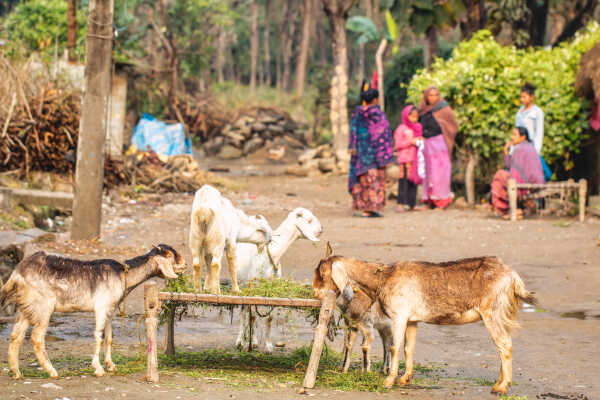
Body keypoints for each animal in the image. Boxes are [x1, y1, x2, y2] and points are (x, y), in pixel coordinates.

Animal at [0, 244, 186, 378]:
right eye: (172, 255)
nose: (185, 264)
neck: (123, 274)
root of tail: (17, 273)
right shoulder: (101, 307)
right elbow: (98, 337)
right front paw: (98, 369)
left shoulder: (110, 310)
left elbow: (109, 338)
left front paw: (111, 365)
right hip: (43, 307)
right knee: (37, 337)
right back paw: (52, 372)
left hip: (25, 308)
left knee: (16, 336)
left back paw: (17, 373)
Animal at [233, 208, 322, 352]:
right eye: (309, 220)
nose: (321, 229)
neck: (273, 253)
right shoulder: (253, 286)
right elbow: (250, 314)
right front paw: (245, 343)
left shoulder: (272, 289)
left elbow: (269, 318)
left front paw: (268, 346)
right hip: (242, 283)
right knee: (244, 312)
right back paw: (241, 341)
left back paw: (254, 341)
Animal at [316, 242, 536, 396]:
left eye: (321, 273)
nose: (316, 294)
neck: (383, 277)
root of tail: (513, 277)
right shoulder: (412, 320)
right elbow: (409, 348)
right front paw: (405, 379)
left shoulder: (399, 316)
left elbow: (395, 347)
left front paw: (388, 381)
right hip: (503, 314)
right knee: (503, 345)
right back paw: (498, 384)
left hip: (493, 313)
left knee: (505, 346)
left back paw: (501, 388)